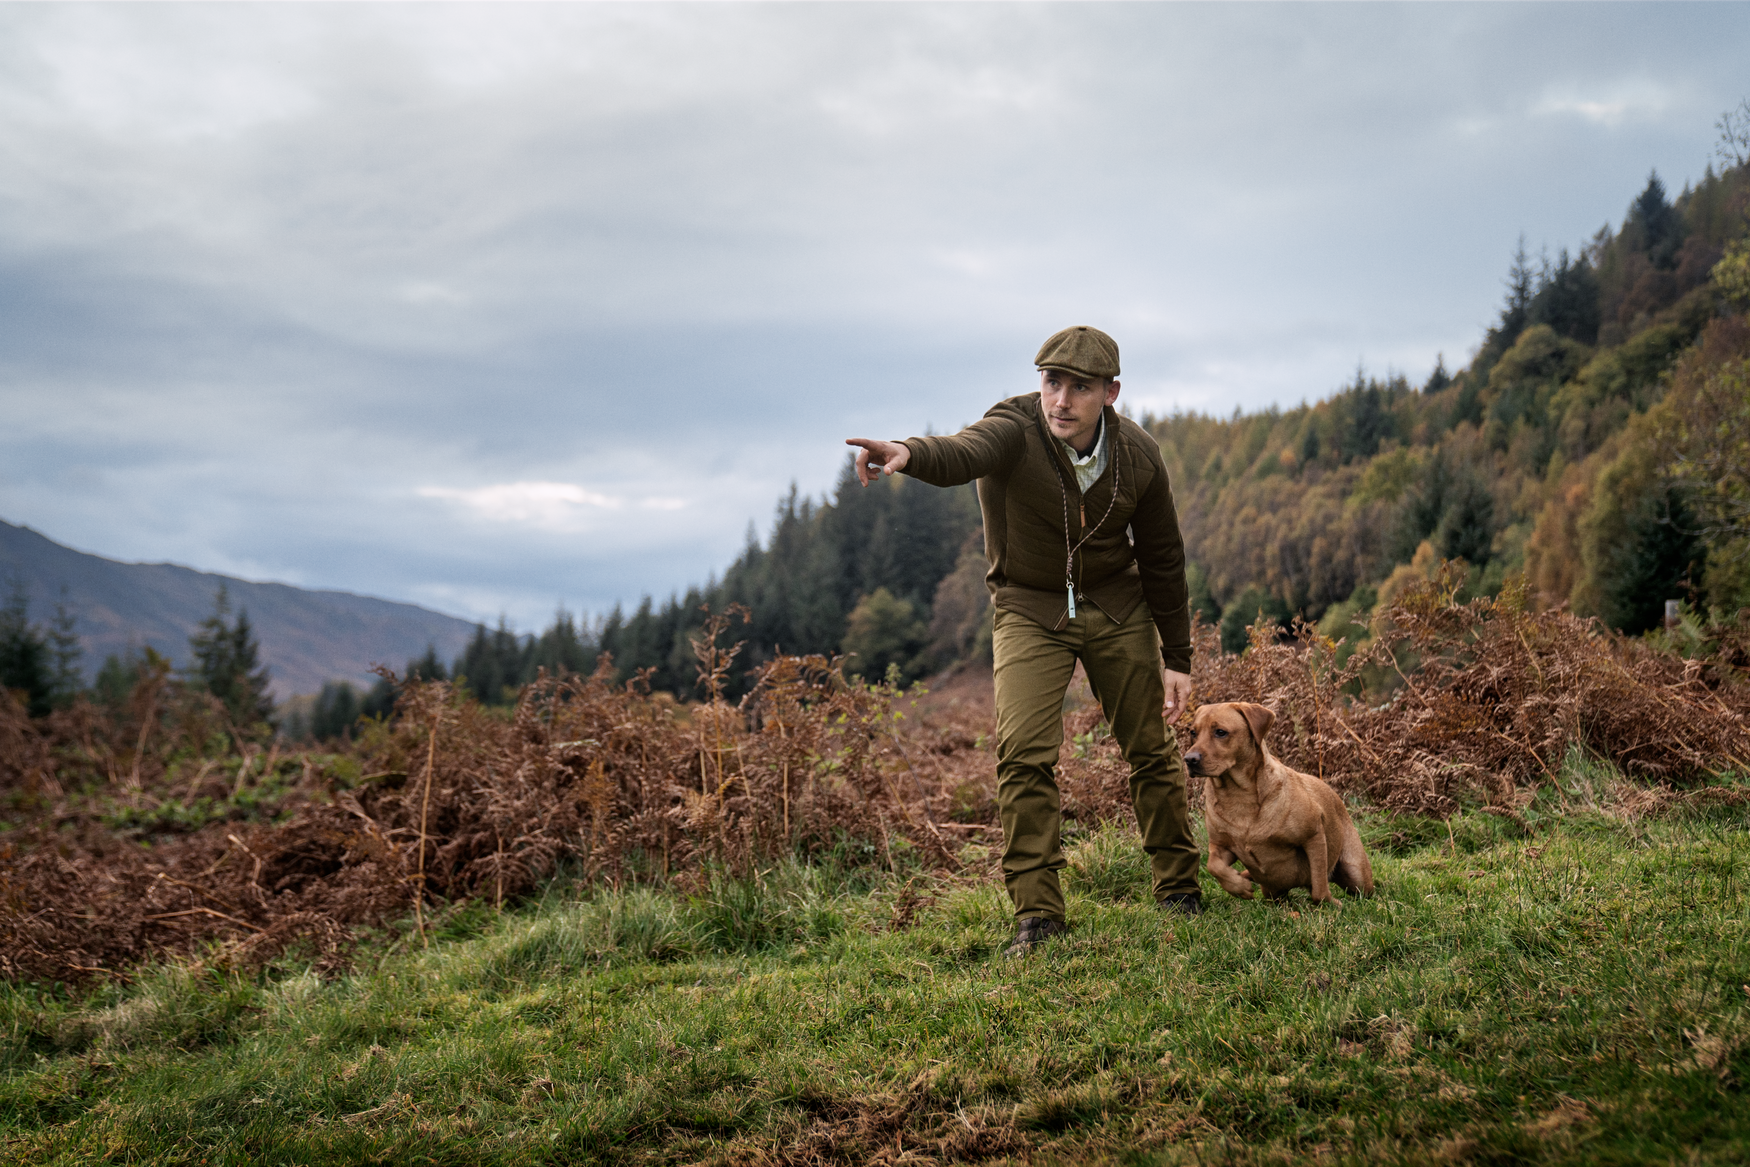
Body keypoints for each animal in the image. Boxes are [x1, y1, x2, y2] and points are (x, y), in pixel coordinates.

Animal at [1183, 703, 1372, 902]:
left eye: (1220, 732)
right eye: (1193, 732)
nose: (1189, 759)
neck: (1238, 796)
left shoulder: (1314, 835)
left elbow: (1319, 889)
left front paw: (1332, 903)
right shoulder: (1221, 846)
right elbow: (1213, 866)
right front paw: (1238, 887)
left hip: (1357, 874)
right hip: (1272, 890)